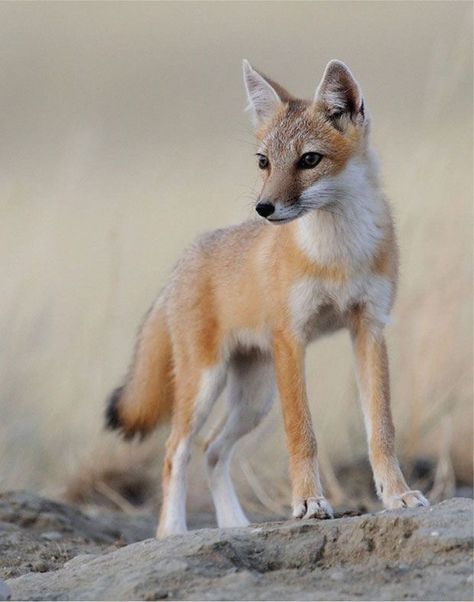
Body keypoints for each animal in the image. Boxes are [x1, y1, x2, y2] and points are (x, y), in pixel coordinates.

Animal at [106, 58, 430, 536]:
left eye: (309, 160)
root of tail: (185, 258)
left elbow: (382, 429)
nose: (263, 208)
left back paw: (234, 525)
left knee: (212, 449)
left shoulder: (369, 328)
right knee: (175, 450)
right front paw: (309, 503)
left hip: (254, 399)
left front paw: (397, 495)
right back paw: (172, 532)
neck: (336, 255)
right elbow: (301, 432)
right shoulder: (291, 340)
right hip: (205, 385)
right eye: (264, 162)